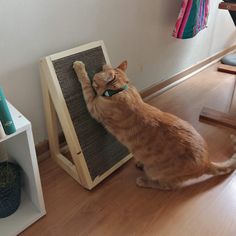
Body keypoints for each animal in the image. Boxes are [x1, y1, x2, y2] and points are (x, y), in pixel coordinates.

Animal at [73, 60, 236, 190]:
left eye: (94, 78)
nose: (95, 76)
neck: (121, 91)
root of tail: (206, 162)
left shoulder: (93, 107)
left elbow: (85, 86)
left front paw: (79, 67)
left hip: (158, 173)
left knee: (168, 186)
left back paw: (144, 181)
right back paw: (140, 164)